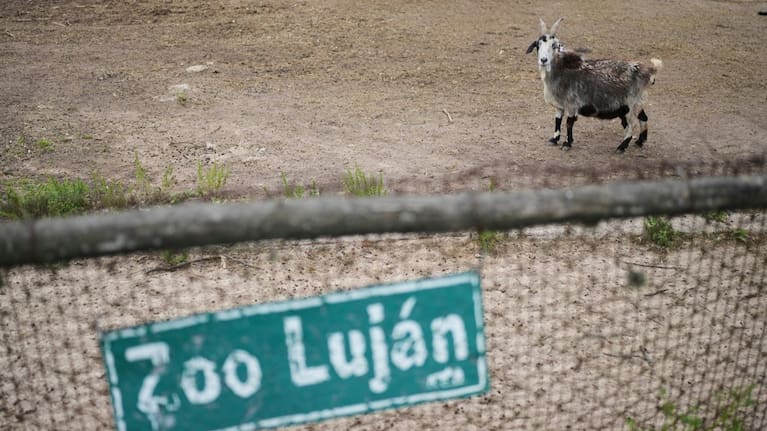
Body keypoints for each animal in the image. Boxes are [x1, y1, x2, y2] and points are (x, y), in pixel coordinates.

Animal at [526, 18, 662, 153]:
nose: (543, 60)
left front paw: (567, 143)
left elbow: (569, 123)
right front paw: (554, 140)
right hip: (637, 103)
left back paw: (622, 146)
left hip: (632, 104)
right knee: (643, 118)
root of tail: (648, 71)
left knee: (632, 125)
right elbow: (557, 121)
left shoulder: (572, 104)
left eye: (554, 45)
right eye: (538, 45)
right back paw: (640, 141)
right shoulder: (559, 106)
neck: (560, 70)